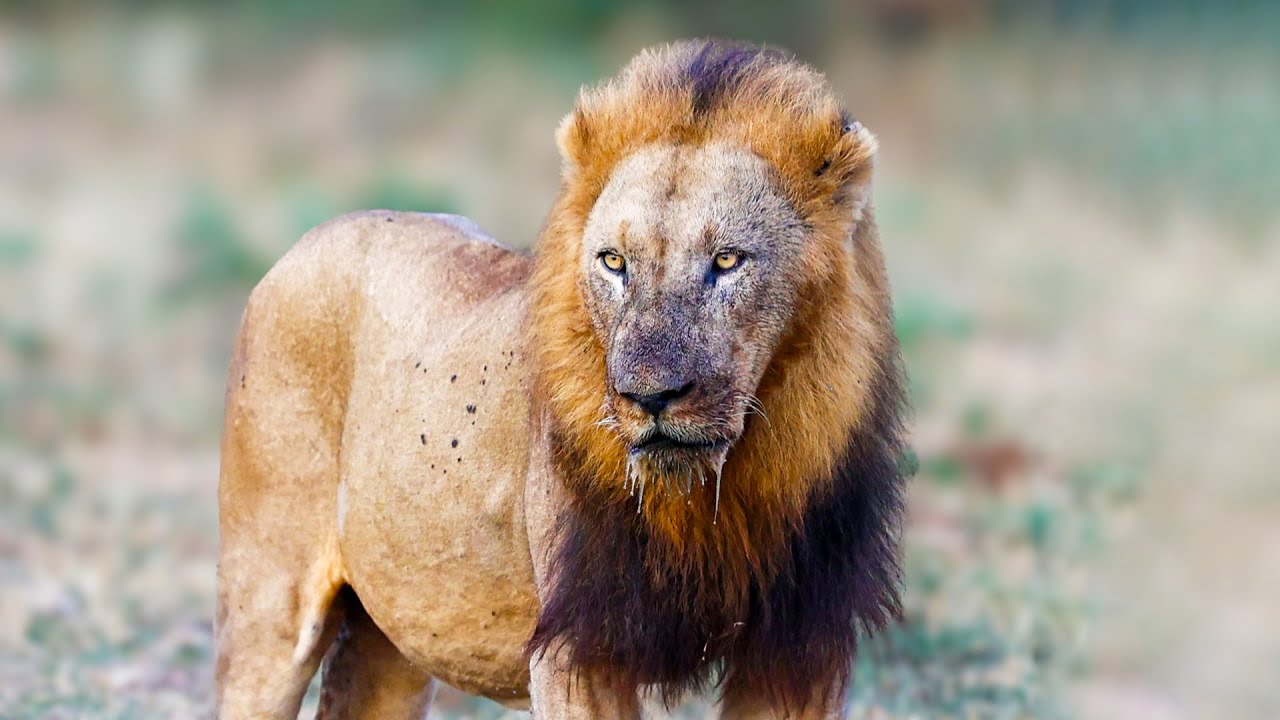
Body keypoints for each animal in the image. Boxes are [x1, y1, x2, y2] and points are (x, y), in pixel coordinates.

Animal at [215, 39, 908, 719]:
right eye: (614, 262)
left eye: (728, 260)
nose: (648, 398)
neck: (720, 494)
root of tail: (313, 236)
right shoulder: (579, 648)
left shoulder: (801, 651)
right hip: (265, 602)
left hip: (389, 637)